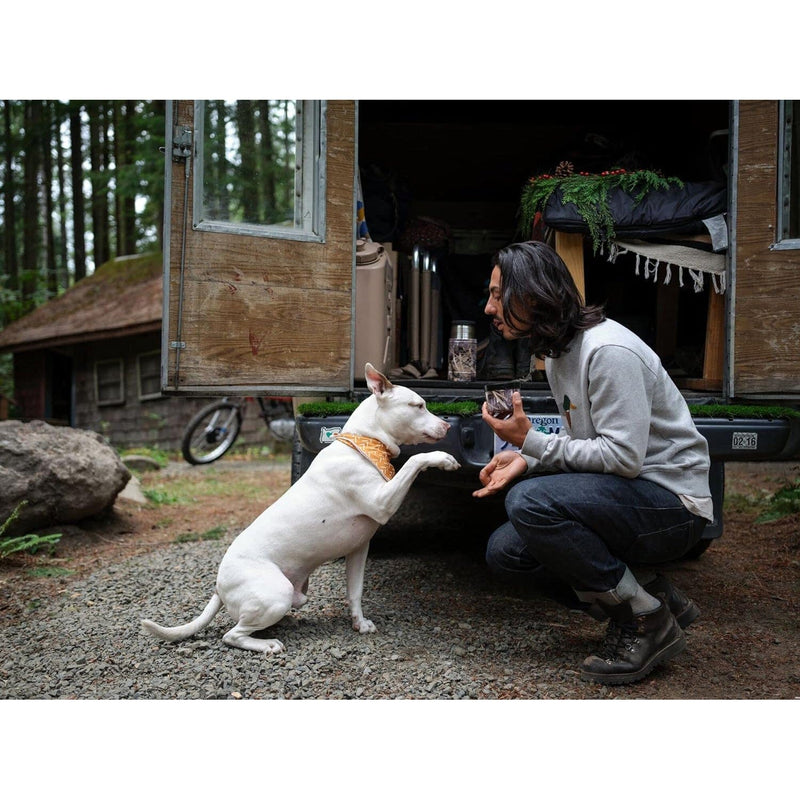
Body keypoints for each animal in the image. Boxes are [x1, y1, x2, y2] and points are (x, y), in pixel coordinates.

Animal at [141, 366, 460, 652]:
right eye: (418, 405)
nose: (447, 427)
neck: (365, 445)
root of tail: (219, 586)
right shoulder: (383, 501)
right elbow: (414, 460)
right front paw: (442, 458)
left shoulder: (359, 548)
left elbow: (355, 591)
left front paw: (359, 623)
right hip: (276, 593)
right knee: (232, 635)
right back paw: (267, 644)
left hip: (293, 594)